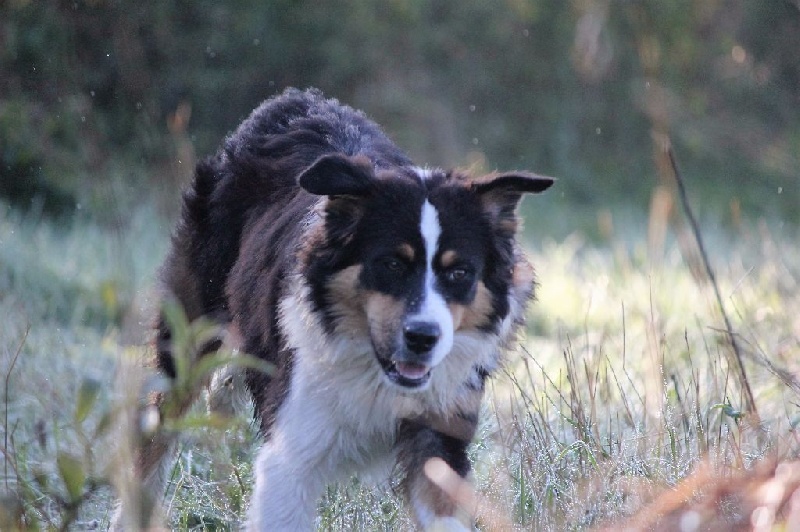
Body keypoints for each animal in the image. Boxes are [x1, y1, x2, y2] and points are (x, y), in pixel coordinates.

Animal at [126, 87, 552, 528]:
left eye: (459, 273)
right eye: (391, 264)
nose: (424, 338)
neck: (375, 373)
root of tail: (292, 98)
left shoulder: (439, 437)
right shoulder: (292, 454)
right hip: (188, 336)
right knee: (156, 428)